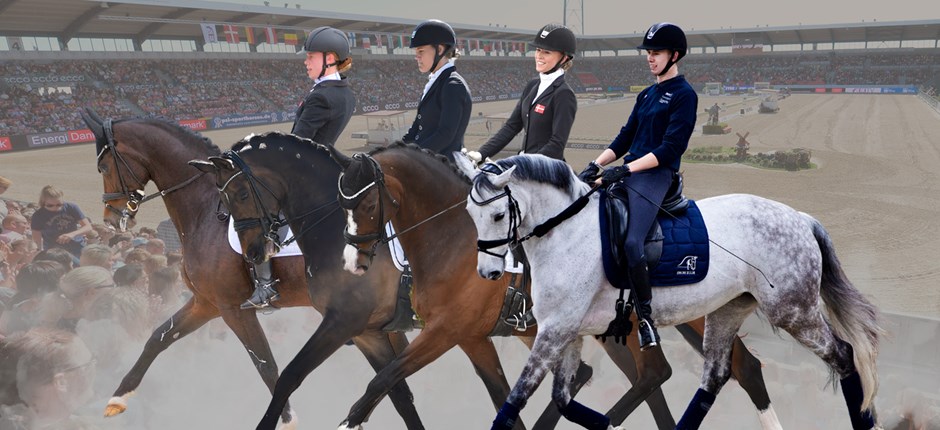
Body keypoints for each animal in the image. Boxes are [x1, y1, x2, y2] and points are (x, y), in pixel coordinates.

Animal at [79, 109, 424, 428]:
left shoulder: (233, 309)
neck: (205, 210)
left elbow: (265, 364)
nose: (111, 218)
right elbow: (158, 337)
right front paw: (117, 399)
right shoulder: (206, 303)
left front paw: (288, 419)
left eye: (103, 167)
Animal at [326, 144, 784, 430]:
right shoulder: (471, 336)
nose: (352, 262)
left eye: (367, 203)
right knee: (676, 373)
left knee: (689, 371)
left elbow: (384, 379)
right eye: (341, 204)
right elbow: (498, 390)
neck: (451, 239)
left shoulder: (444, 331)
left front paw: (346, 421)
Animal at [458, 153, 884, 428]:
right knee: (715, 376)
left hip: (793, 311)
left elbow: (515, 399)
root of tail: (799, 217)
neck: (567, 231)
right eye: (469, 213)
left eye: (498, 214)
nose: (489, 272)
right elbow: (561, 398)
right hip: (728, 310)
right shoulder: (569, 332)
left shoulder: (555, 331)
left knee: (844, 356)